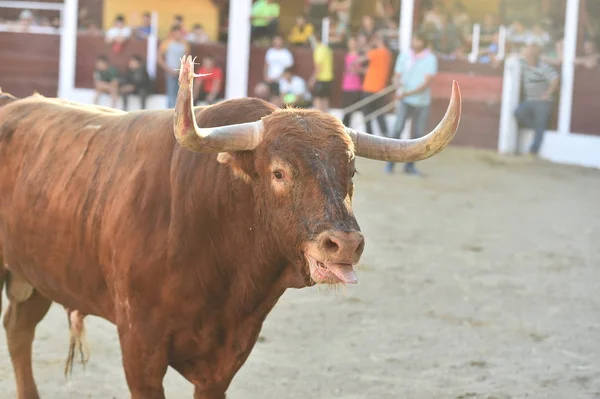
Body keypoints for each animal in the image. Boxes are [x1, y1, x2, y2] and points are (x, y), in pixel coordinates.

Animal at [0, 57, 462, 399]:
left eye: (351, 171)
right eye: (279, 173)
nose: (345, 244)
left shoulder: (226, 357)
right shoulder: (140, 347)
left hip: (35, 277)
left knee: (19, 329)